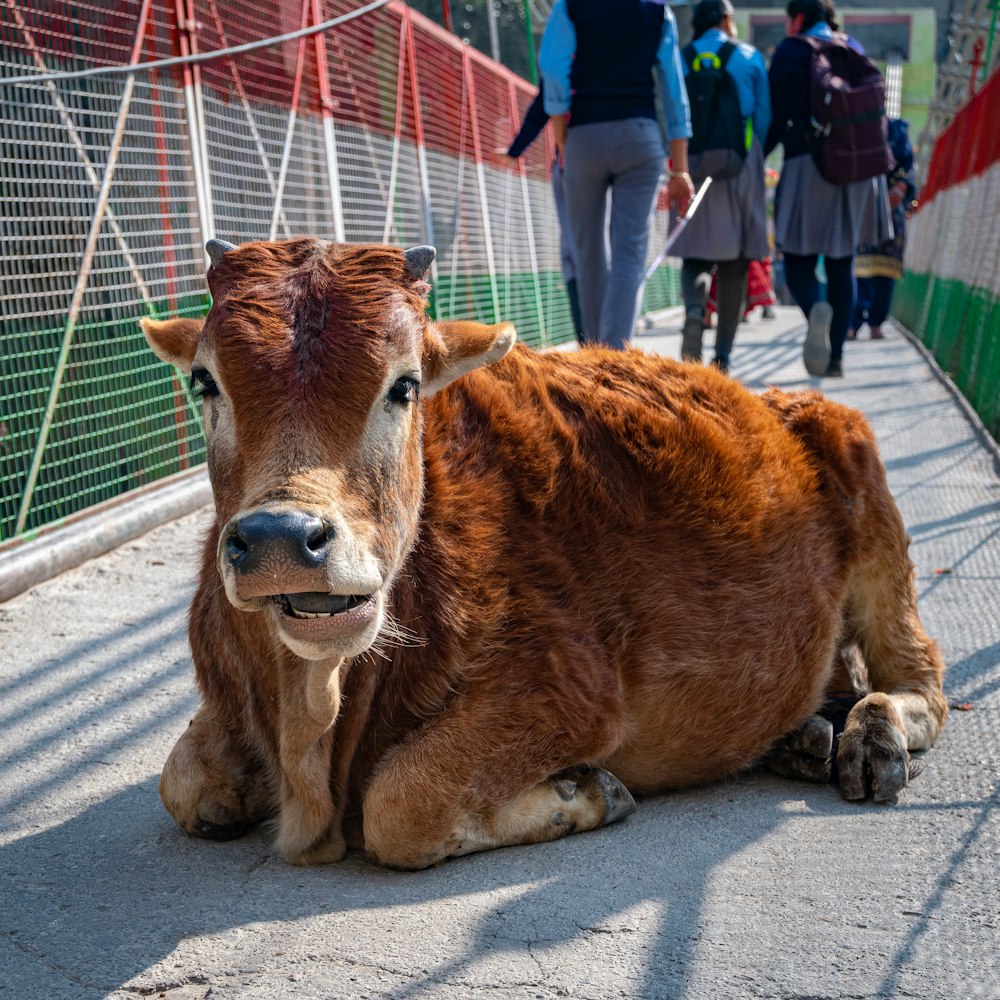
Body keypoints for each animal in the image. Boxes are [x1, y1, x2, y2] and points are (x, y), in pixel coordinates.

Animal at [139, 236, 944, 868]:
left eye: (404, 386)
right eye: (204, 381)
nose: (281, 539)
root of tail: (773, 399)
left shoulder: (568, 690)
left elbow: (400, 801)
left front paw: (587, 792)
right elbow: (182, 783)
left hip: (870, 501)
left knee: (921, 680)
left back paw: (871, 735)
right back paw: (803, 735)